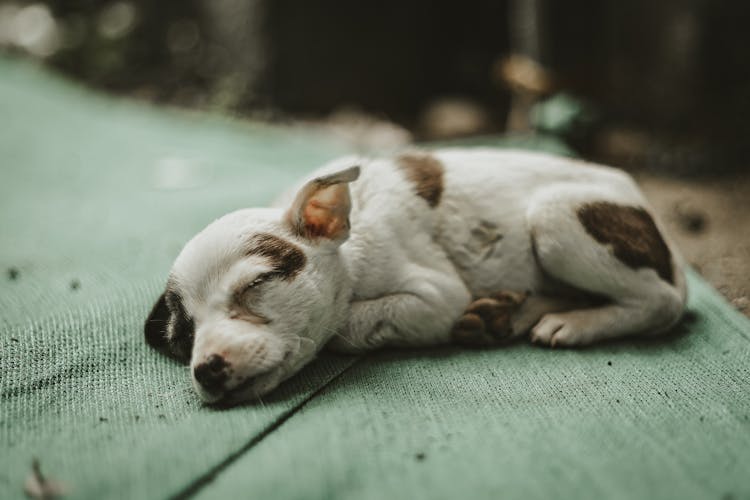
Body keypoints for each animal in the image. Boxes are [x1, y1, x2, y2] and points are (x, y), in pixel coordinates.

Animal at [142, 147, 688, 402]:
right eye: (183, 338)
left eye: (256, 286)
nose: (207, 368)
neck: (349, 246)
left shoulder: (436, 295)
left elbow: (346, 327)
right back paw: (506, 315)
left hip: (555, 219)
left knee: (661, 303)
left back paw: (573, 324)